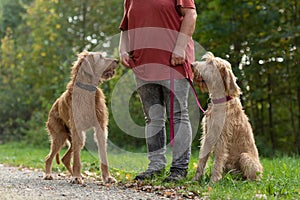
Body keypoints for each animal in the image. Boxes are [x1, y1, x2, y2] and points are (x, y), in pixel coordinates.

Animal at [44, 51, 118, 184]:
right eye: (100, 57)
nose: (117, 61)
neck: (87, 89)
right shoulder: (77, 129)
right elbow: (77, 159)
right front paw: (76, 177)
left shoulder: (101, 128)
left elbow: (103, 156)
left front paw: (107, 177)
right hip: (59, 137)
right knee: (49, 157)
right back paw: (48, 174)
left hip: (73, 138)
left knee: (65, 158)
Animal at [191, 52, 262, 183]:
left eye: (211, 63)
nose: (192, 65)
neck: (220, 101)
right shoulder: (207, 134)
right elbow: (202, 158)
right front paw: (195, 179)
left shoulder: (221, 137)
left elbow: (218, 160)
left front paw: (213, 181)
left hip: (245, 157)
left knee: (253, 178)